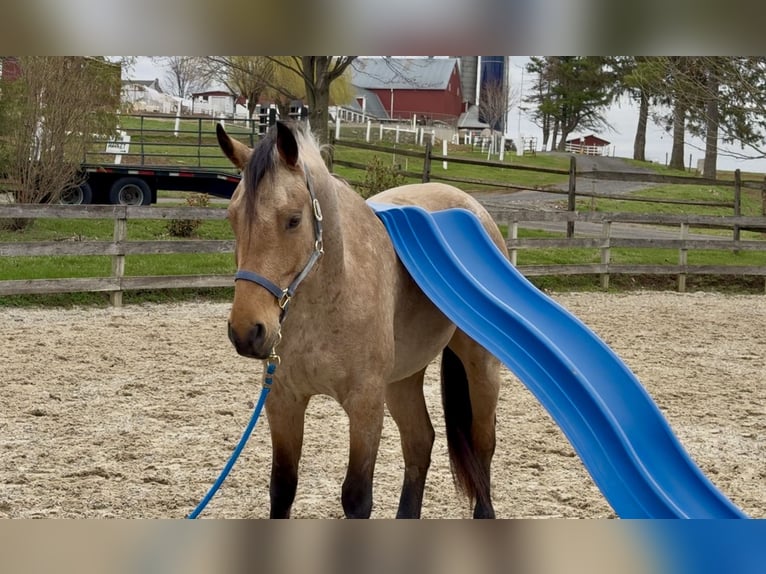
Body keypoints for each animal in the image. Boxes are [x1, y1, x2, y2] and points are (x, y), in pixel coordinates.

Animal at [217, 120, 508, 519]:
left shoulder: (366, 404)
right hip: (402, 380)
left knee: (483, 446)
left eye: (293, 220)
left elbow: (357, 497)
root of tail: (472, 206)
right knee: (420, 442)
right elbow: (282, 487)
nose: (247, 332)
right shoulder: (283, 400)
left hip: (481, 367)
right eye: (231, 218)